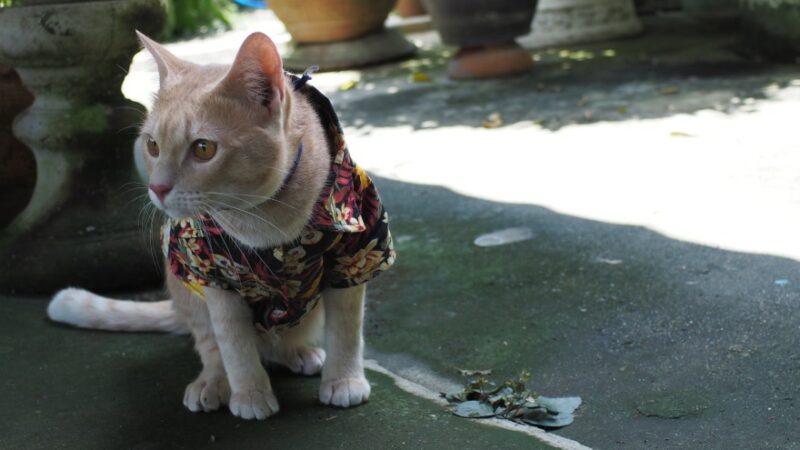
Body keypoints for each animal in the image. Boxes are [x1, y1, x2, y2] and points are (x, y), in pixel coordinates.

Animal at [46, 32, 394, 422]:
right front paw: (250, 393)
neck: (266, 221)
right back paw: (213, 383)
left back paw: (300, 353)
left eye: (203, 149)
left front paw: (344, 380)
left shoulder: (356, 255)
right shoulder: (211, 273)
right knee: (211, 345)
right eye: (152, 145)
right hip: (186, 289)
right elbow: (232, 344)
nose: (157, 188)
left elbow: (346, 330)